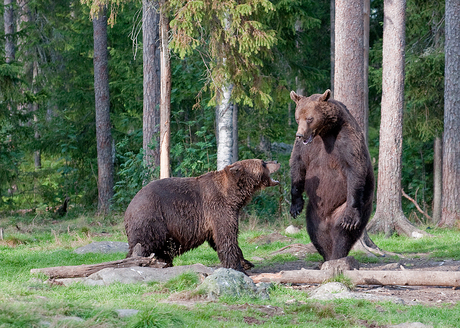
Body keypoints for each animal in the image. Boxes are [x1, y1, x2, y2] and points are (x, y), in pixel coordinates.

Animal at [123, 158, 280, 272]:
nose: (276, 161)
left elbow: (219, 239)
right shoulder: (217, 208)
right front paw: (237, 267)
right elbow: (226, 237)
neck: (233, 196)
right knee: (142, 244)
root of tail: (129, 207)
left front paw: (246, 262)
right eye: (263, 162)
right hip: (150, 218)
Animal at [290, 89, 376, 262]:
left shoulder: (346, 141)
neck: (324, 132)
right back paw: (327, 257)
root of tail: (328, 217)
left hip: (350, 205)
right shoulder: (306, 149)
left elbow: (354, 169)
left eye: (309, 118)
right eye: (297, 118)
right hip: (315, 210)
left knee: (343, 232)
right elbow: (297, 165)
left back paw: (337, 255)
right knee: (316, 233)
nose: (299, 135)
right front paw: (295, 206)